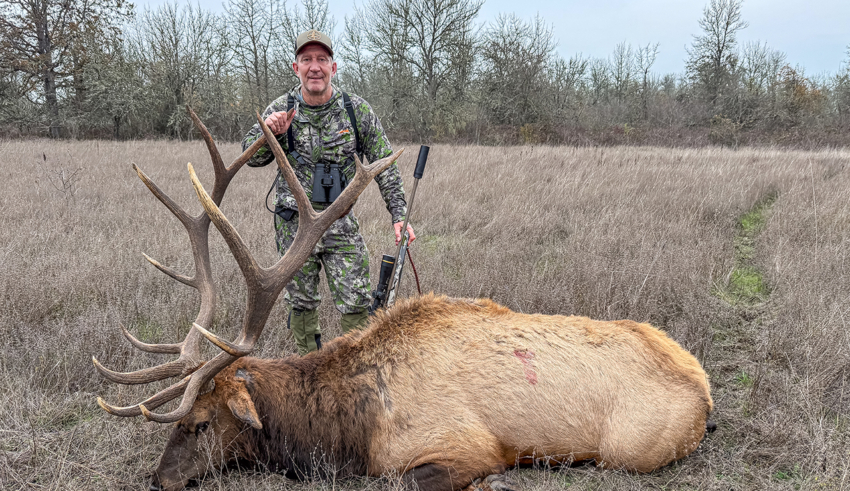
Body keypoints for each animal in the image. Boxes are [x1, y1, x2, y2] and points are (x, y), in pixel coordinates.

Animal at [93, 110, 714, 491]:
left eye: (199, 424)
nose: (158, 479)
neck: (346, 429)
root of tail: (705, 391)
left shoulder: (463, 447)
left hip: (634, 447)